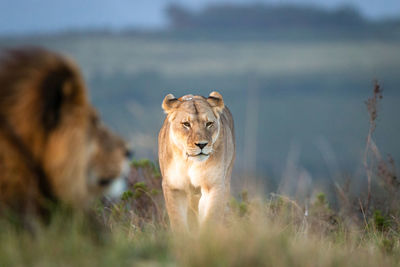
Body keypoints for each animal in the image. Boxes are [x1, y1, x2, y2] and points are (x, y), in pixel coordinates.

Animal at [159, 92, 236, 232]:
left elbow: (211, 219)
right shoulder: (173, 187)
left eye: (209, 123)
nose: (201, 144)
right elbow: (177, 220)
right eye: (186, 124)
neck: (190, 163)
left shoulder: (214, 185)